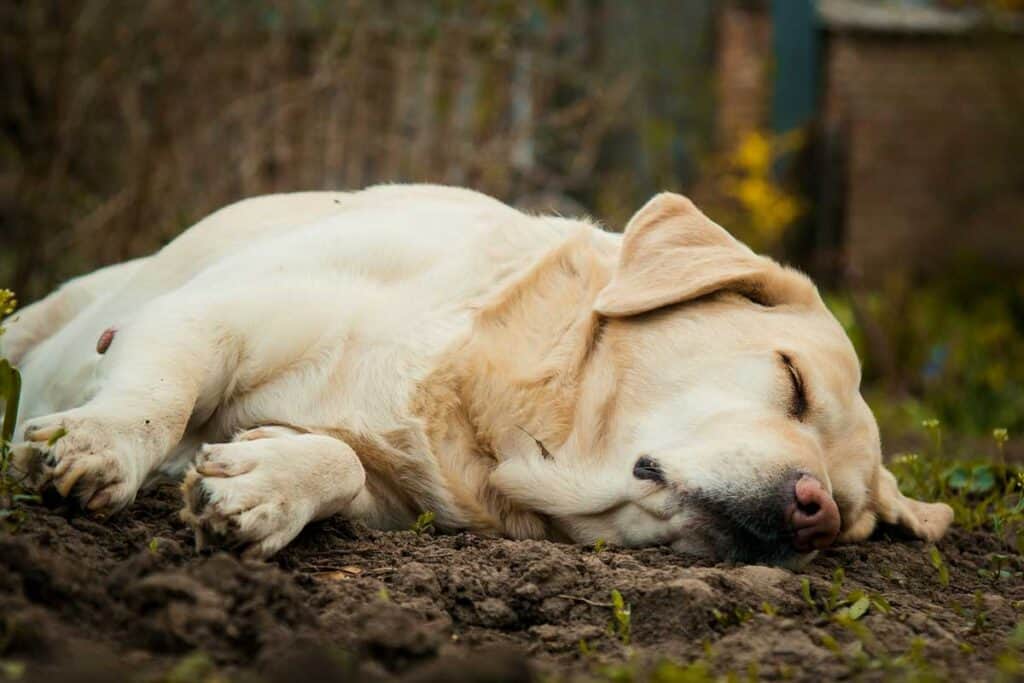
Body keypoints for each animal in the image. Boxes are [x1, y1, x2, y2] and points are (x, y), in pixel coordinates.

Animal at [2, 184, 950, 565]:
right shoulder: (210, 313)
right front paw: (101, 442)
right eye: (793, 381)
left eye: (852, 521)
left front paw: (263, 486)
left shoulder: (397, 491)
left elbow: (337, 461)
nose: (814, 513)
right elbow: (157, 398)